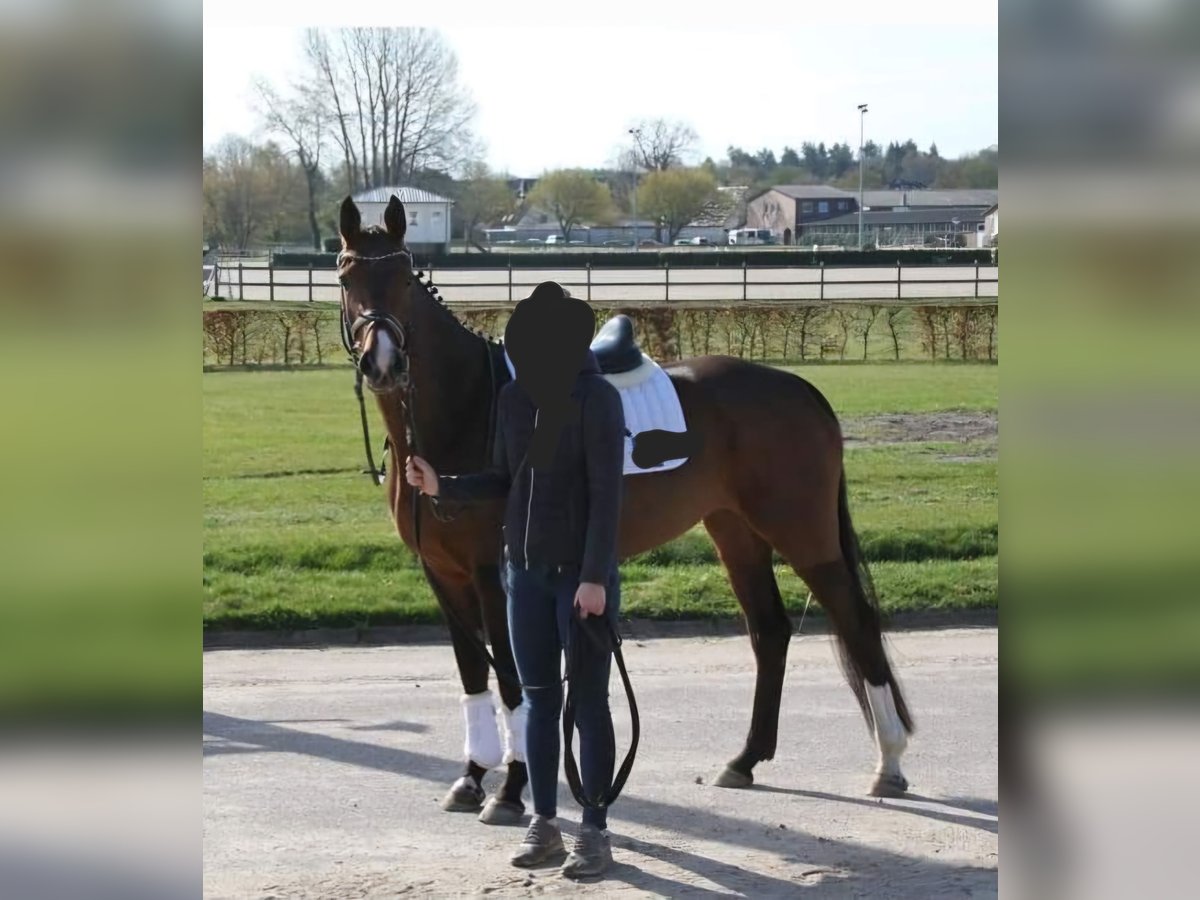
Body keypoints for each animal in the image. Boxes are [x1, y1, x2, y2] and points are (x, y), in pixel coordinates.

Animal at [338, 195, 916, 825]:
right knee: (771, 631)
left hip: (803, 532)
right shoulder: (442, 574)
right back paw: (746, 759)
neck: (467, 410)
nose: (383, 363)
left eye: (402, 278)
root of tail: (800, 389)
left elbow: (514, 679)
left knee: (854, 618)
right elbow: (473, 673)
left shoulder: (495, 575)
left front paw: (511, 788)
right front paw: (471, 777)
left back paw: (889, 761)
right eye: (345, 277)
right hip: (736, 532)